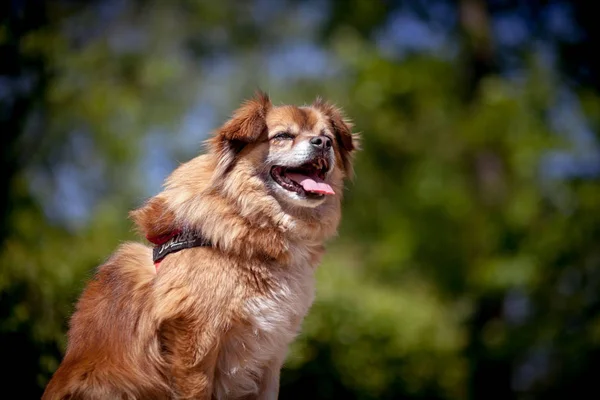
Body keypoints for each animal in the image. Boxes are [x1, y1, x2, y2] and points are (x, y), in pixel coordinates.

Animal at [44, 92, 358, 398]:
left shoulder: (270, 355)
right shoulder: (195, 344)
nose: (323, 143)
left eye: (327, 136)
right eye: (283, 135)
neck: (251, 223)